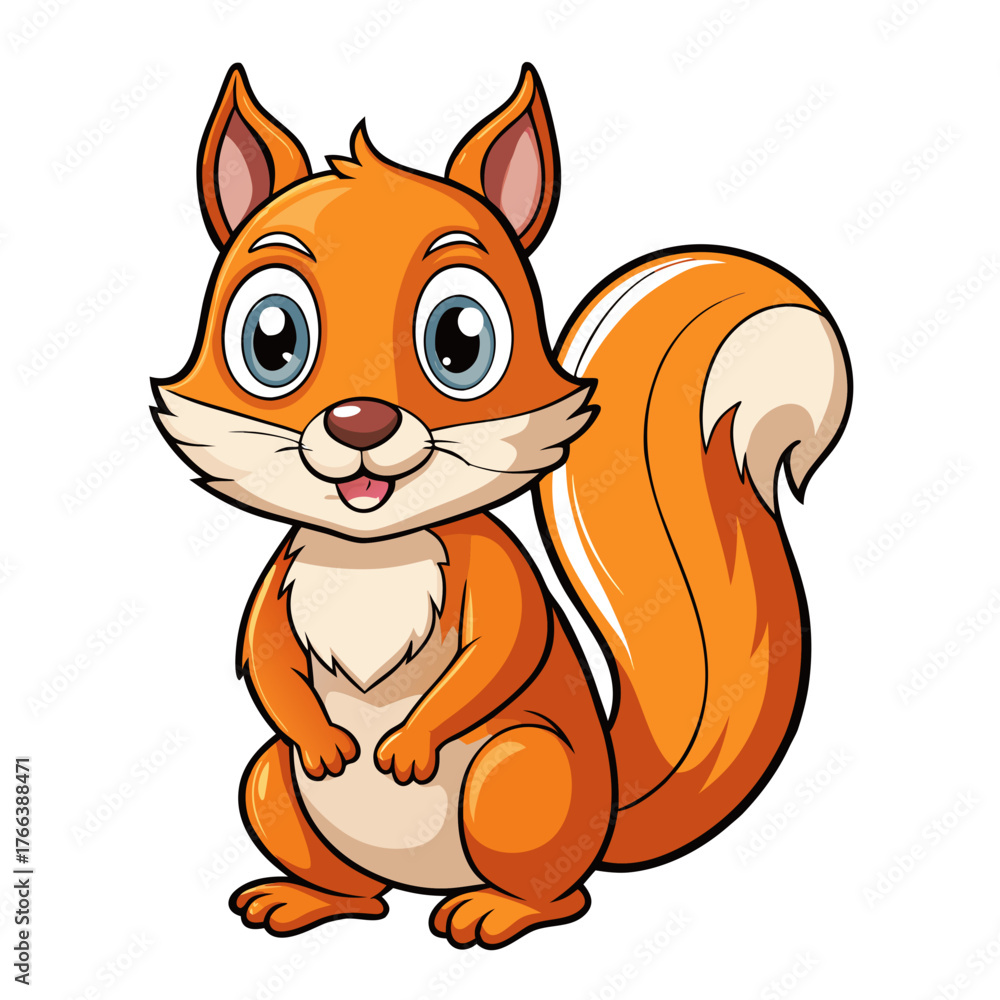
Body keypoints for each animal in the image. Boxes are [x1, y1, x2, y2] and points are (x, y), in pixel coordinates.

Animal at [152, 63, 851, 949]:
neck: (371, 550)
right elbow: (268, 656)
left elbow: (502, 651)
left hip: (518, 773)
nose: (359, 422)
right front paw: (324, 738)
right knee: (357, 887)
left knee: (561, 895)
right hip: (270, 784)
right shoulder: (282, 577)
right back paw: (307, 899)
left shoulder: (493, 566)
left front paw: (410, 746)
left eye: (460, 341)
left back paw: (494, 911)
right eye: (270, 341)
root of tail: (608, 817)